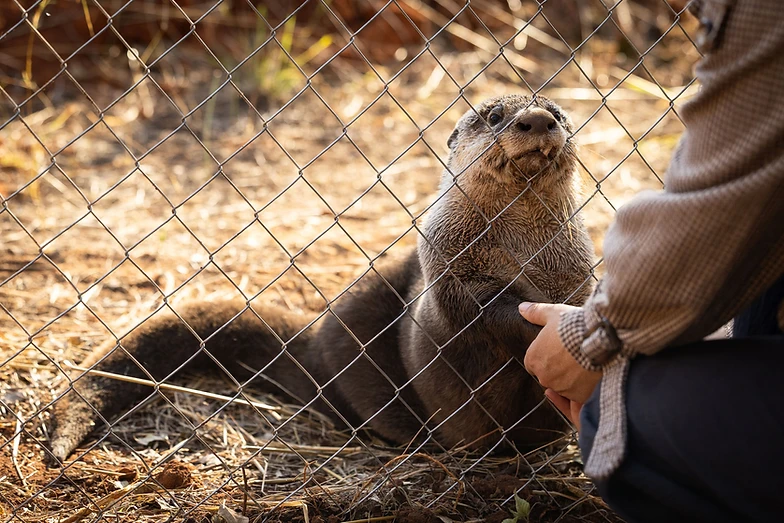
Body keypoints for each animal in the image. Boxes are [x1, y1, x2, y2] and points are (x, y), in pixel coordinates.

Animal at [47, 94, 595, 463]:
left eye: (558, 112)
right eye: (495, 115)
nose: (537, 119)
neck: (522, 253)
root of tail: (315, 344)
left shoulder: (574, 267)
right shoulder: (450, 263)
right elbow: (478, 310)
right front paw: (537, 328)